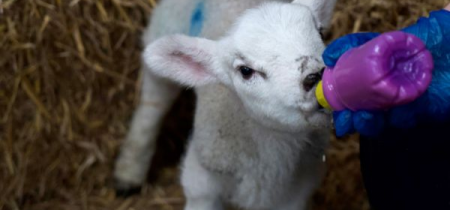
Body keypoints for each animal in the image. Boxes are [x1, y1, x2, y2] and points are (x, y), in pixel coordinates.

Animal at [114, 0, 336, 208]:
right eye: (245, 71)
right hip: (166, 23)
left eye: (320, 32)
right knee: (153, 102)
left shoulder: (298, 191)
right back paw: (129, 171)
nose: (317, 76)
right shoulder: (200, 186)